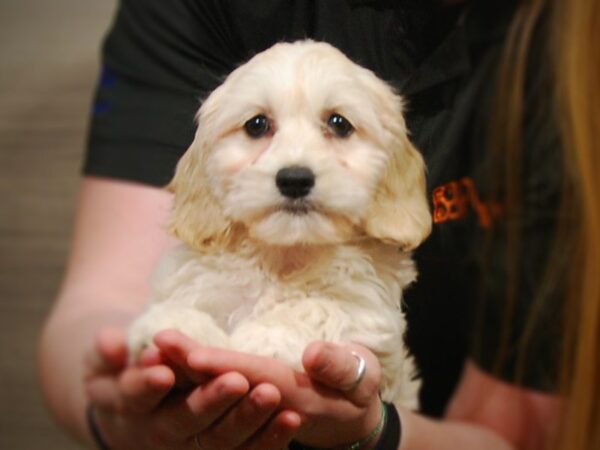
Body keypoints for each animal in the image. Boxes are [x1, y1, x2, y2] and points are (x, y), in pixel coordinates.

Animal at [130, 40, 432, 406]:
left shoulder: (371, 314)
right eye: (257, 125)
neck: (285, 255)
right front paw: (174, 323)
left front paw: (263, 337)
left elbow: (317, 308)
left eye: (339, 123)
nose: (295, 179)